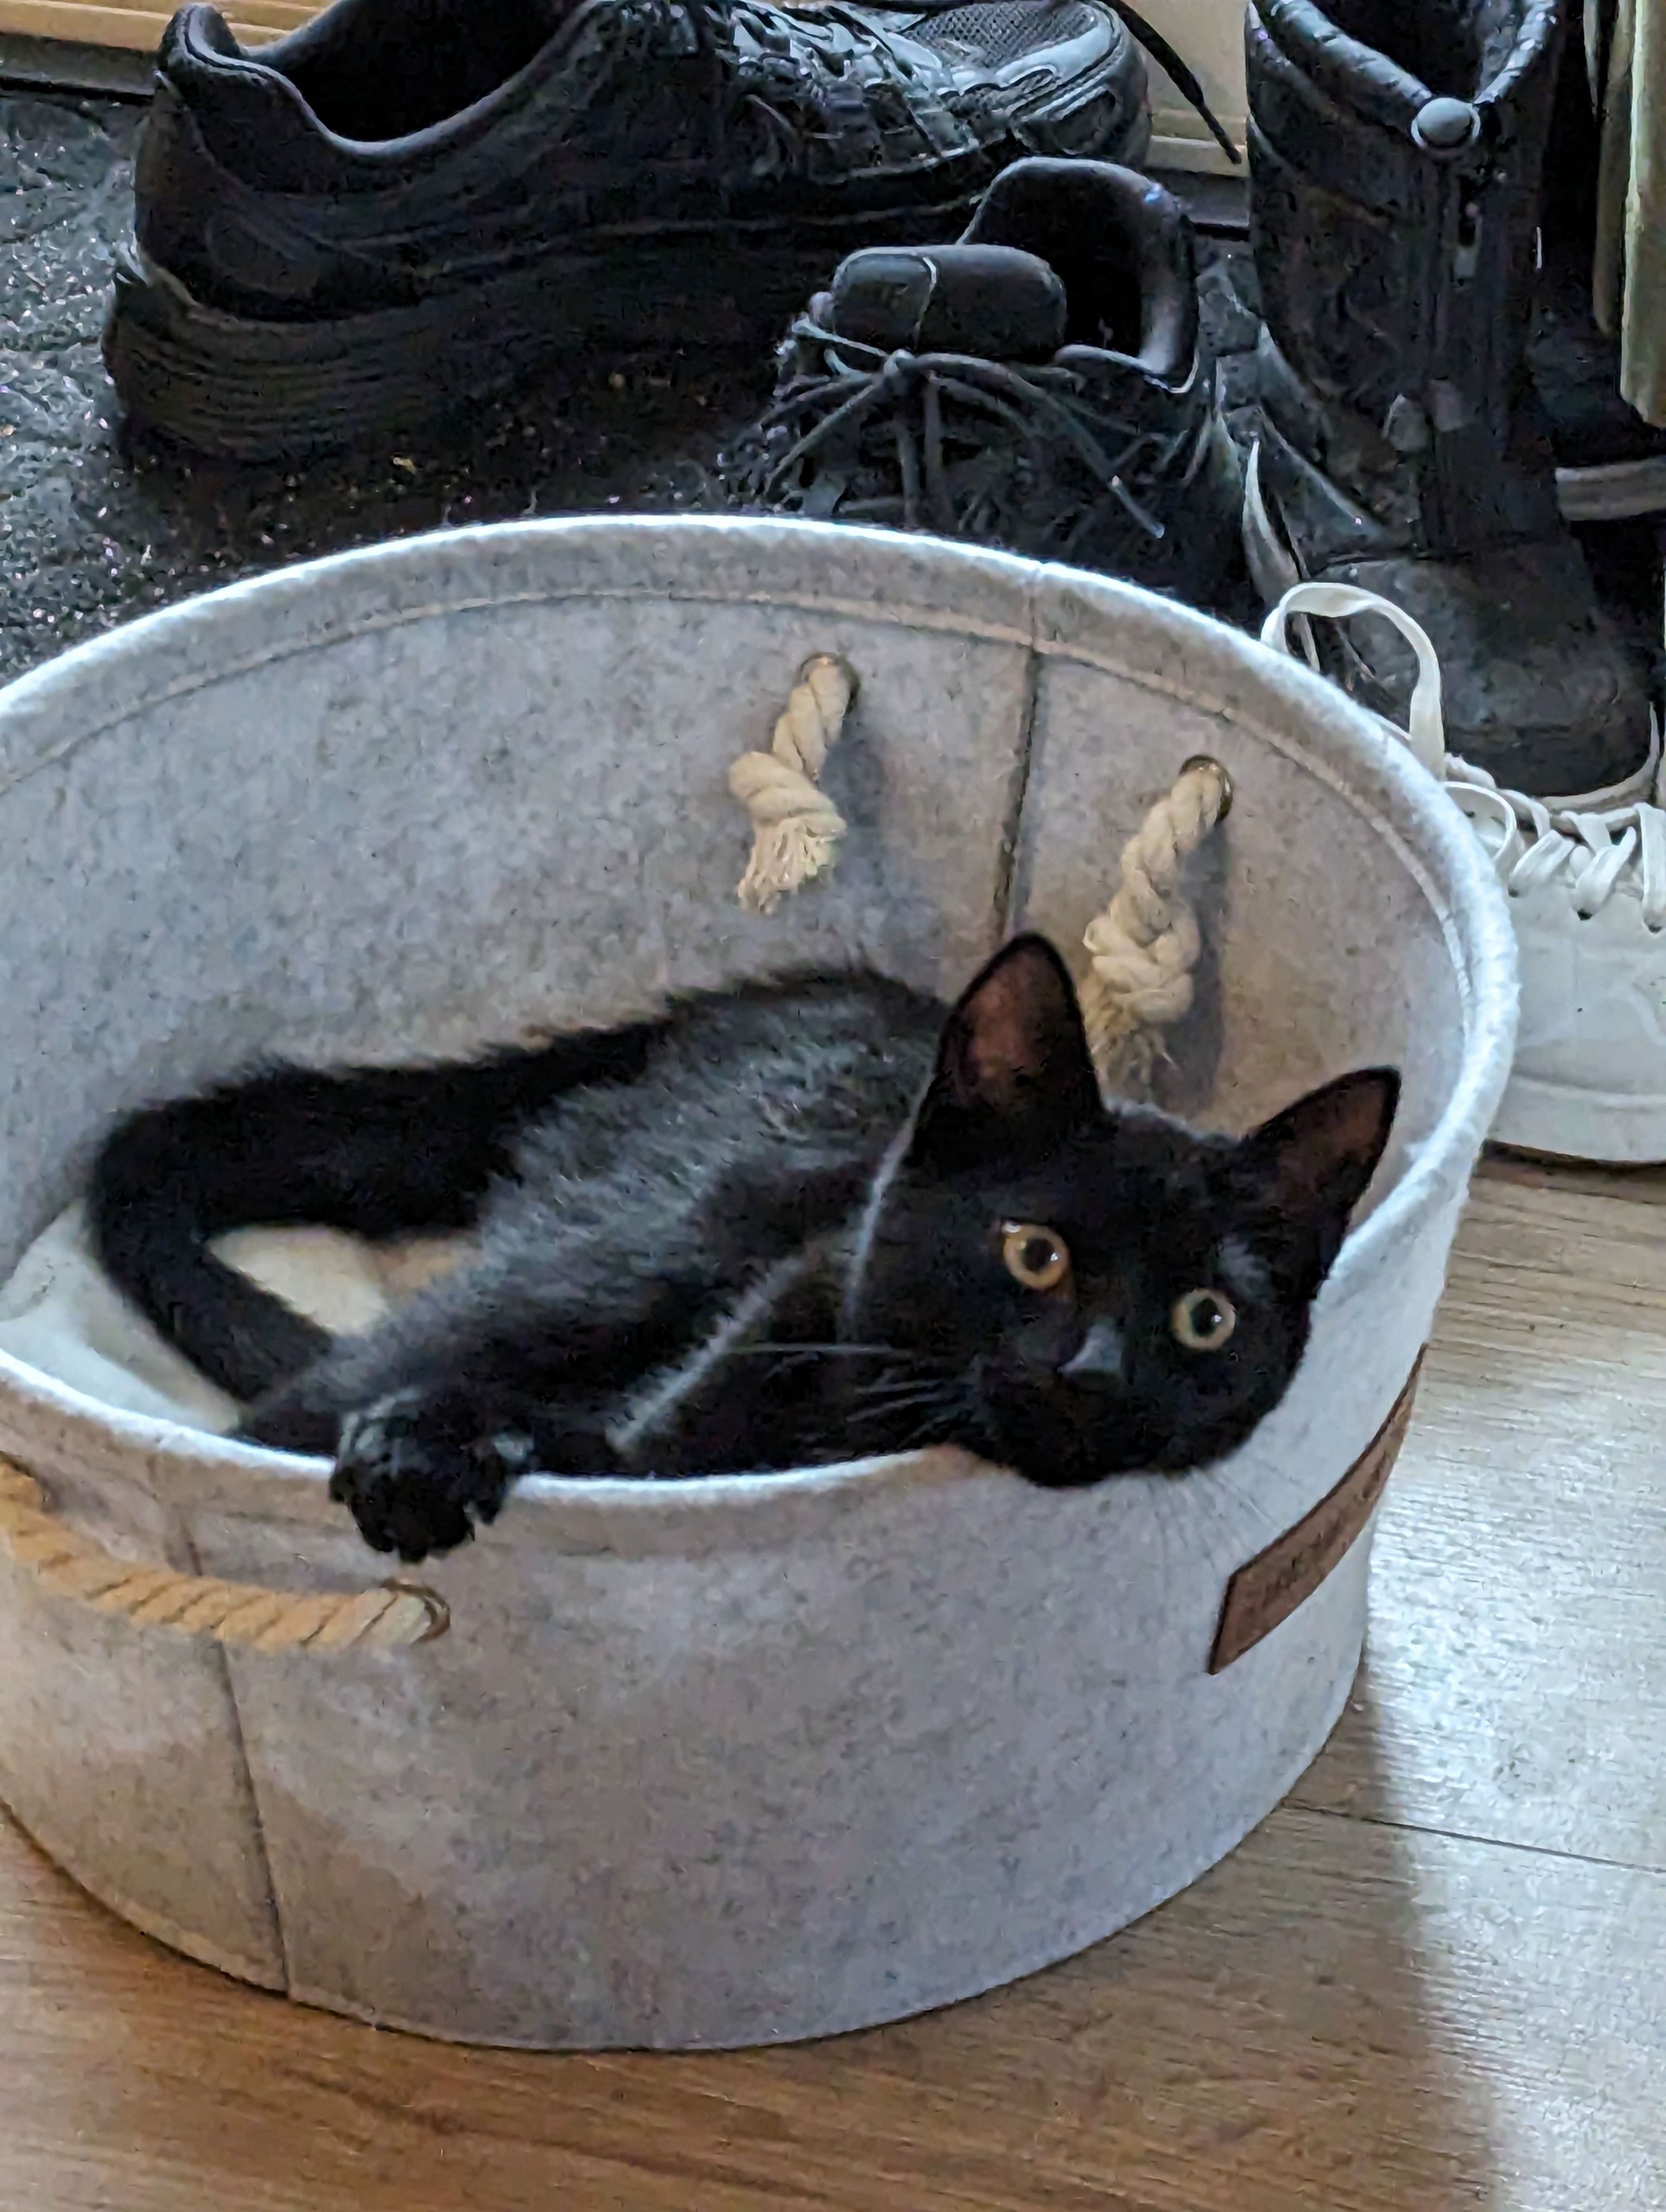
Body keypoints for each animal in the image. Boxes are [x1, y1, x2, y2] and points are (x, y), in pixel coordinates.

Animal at [89, 934, 1398, 1562]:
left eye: (1204, 1319)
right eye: (1035, 1254)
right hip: (621, 1258)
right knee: (286, 1414)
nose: (1095, 1374)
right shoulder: (670, 1425)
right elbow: (567, 1439)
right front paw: (427, 1451)